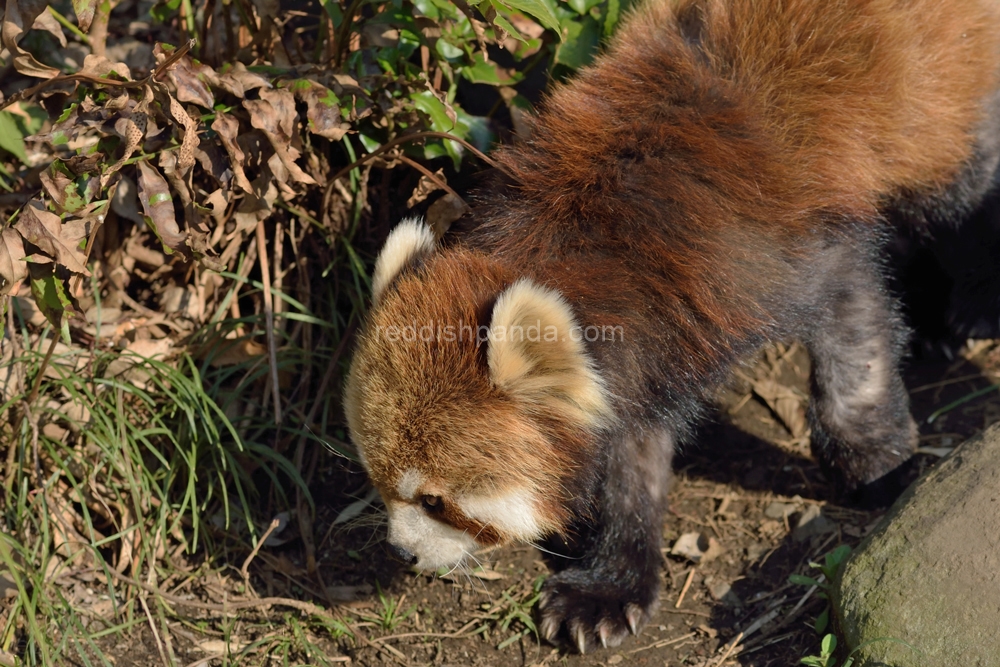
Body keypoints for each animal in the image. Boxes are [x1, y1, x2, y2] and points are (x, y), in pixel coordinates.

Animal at [346, 0, 1000, 656]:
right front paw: (610, 587)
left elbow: (855, 328)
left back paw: (962, 309)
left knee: (965, 189)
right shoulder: (649, 349)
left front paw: (876, 466)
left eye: (436, 500)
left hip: (947, 105)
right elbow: (631, 455)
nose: (400, 552)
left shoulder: (788, 249)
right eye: (379, 480)